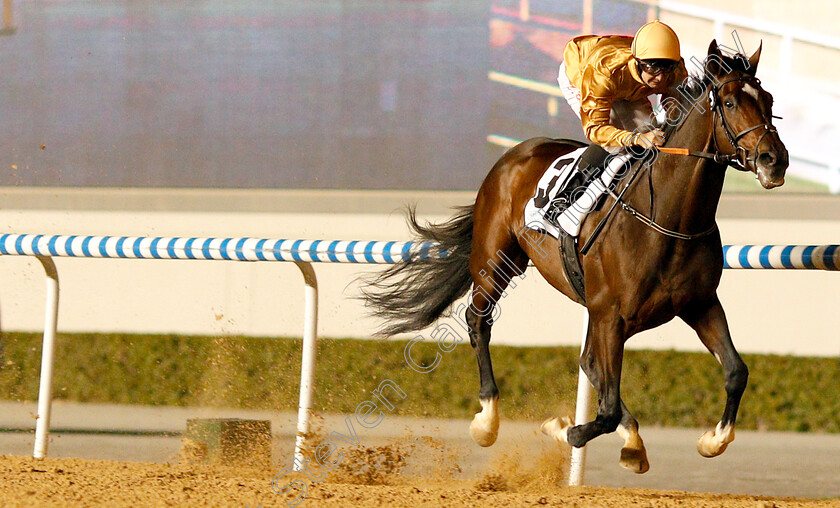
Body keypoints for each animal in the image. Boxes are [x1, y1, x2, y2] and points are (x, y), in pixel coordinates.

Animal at [360, 41, 788, 474]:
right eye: (730, 102)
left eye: (768, 100)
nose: (775, 160)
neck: (668, 218)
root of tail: (514, 153)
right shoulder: (610, 314)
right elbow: (606, 407)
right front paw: (561, 428)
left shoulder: (697, 303)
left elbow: (735, 371)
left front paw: (712, 440)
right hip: (496, 260)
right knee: (479, 321)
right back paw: (487, 421)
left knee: (590, 364)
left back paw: (632, 442)